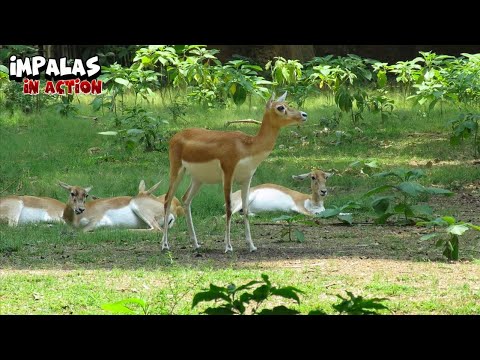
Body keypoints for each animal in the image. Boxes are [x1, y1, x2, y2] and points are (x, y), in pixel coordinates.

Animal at [162, 91, 308, 252]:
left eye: (288, 104)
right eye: (280, 107)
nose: (304, 115)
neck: (247, 147)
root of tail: (175, 137)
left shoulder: (247, 179)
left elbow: (245, 209)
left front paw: (251, 246)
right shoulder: (228, 173)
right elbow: (229, 208)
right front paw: (228, 246)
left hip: (198, 179)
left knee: (186, 199)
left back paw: (196, 244)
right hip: (176, 170)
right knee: (168, 199)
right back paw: (165, 245)